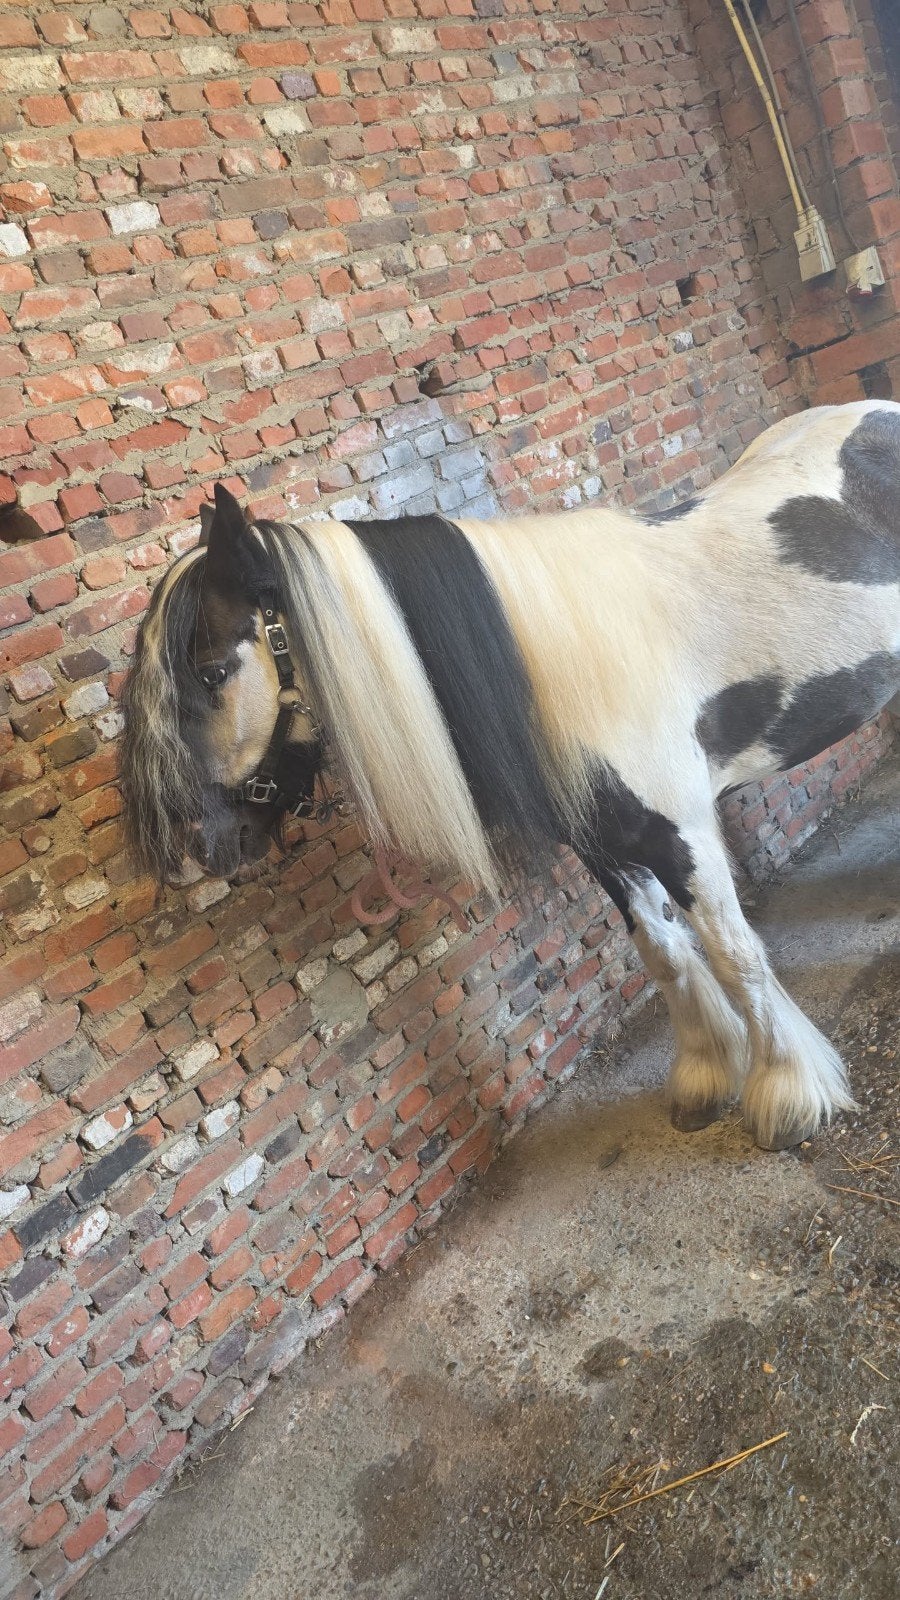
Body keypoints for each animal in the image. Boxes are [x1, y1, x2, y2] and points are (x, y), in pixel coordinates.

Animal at [120, 399, 900, 1153]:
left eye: (211, 671)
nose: (203, 847)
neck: (540, 675)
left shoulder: (685, 840)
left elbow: (735, 958)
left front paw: (787, 1097)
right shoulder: (604, 847)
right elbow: (663, 953)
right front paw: (704, 1081)